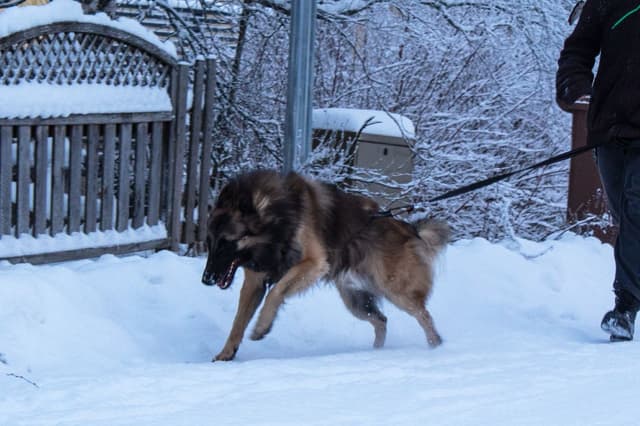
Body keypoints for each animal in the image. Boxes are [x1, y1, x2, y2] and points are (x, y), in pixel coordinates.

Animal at [202, 169, 448, 360]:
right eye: (209, 242)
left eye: (226, 243)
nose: (206, 280)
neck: (276, 216)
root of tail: (411, 229)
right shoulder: (254, 282)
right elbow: (238, 322)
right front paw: (226, 353)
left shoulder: (313, 263)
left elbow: (276, 291)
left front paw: (263, 326)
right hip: (355, 300)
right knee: (381, 321)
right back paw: (375, 352)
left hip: (396, 291)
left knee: (424, 317)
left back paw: (436, 347)